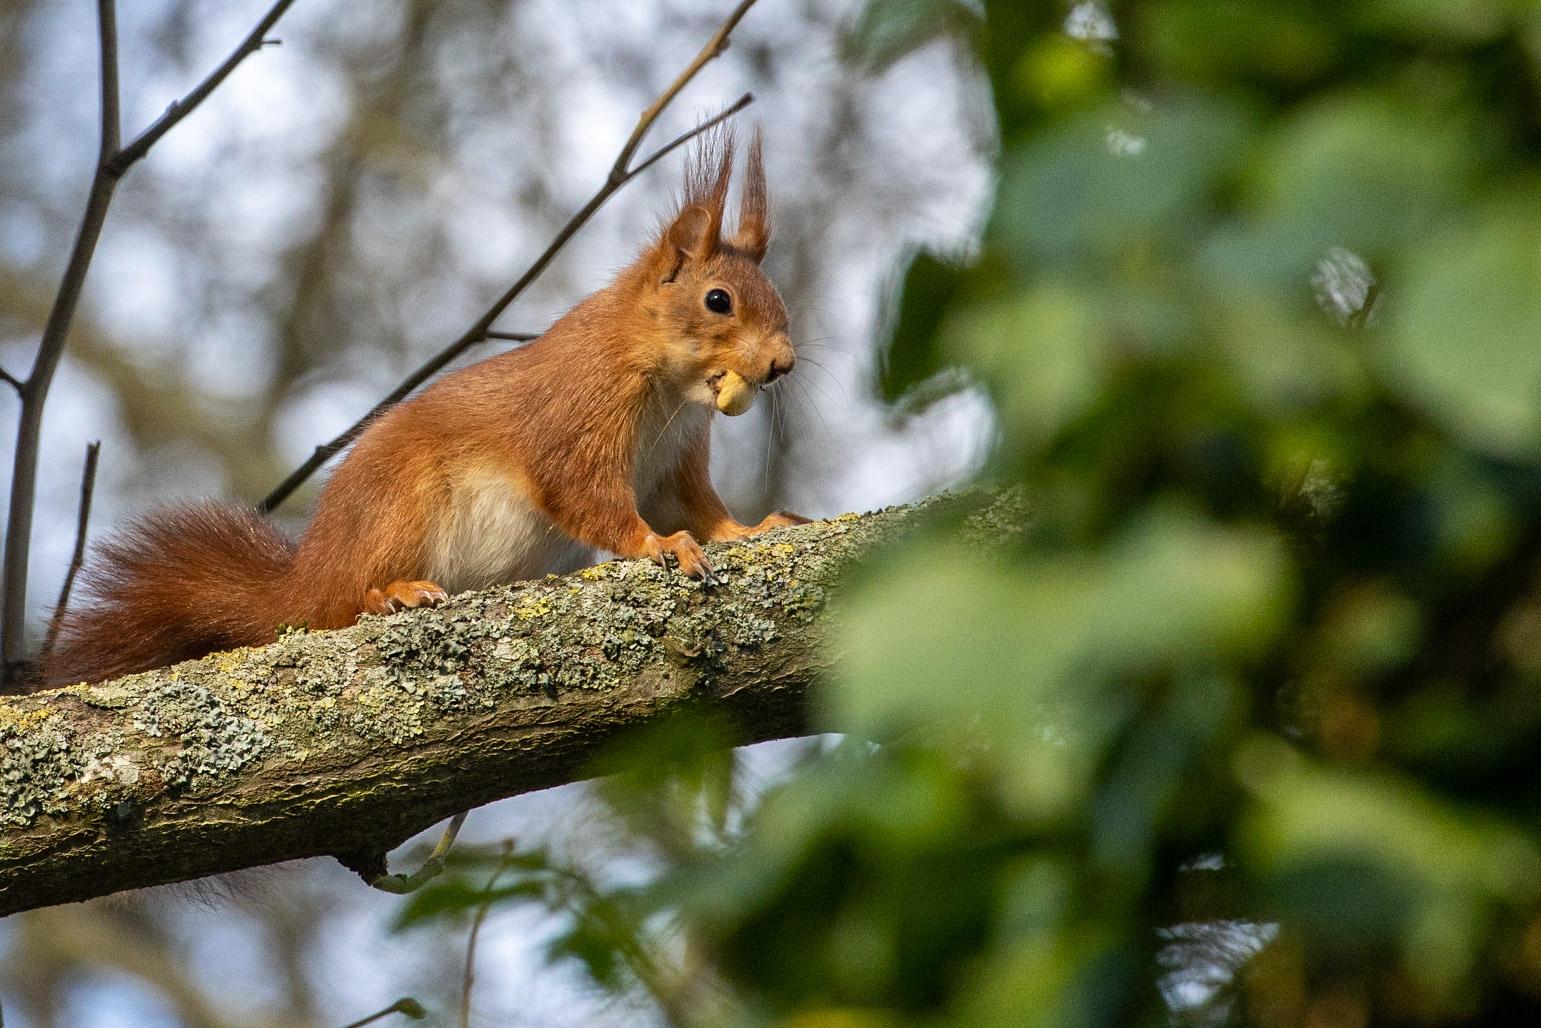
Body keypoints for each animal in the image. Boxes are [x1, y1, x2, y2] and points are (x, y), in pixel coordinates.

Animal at [45, 132, 807, 687]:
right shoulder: (576, 414)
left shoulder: (674, 460)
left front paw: (747, 527)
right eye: (718, 300)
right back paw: (392, 595)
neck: (666, 385)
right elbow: (587, 495)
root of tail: (303, 581)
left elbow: (695, 507)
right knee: (340, 606)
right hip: (398, 508)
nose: (783, 365)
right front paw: (657, 545)